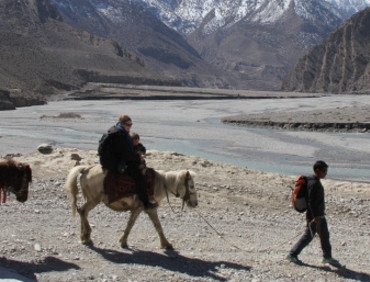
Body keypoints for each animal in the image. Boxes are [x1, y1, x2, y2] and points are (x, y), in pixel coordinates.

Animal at [65, 165, 198, 249]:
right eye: (191, 186)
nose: (195, 203)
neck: (158, 184)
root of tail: (86, 169)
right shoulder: (138, 208)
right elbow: (131, 224)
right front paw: (123, 242)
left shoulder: (151, 209)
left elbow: (158, 226)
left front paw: (166, 244)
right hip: (94, 199)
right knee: (82, 211)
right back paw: (87, 236)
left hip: (91, 199)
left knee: (83, 212)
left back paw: (84, 237)